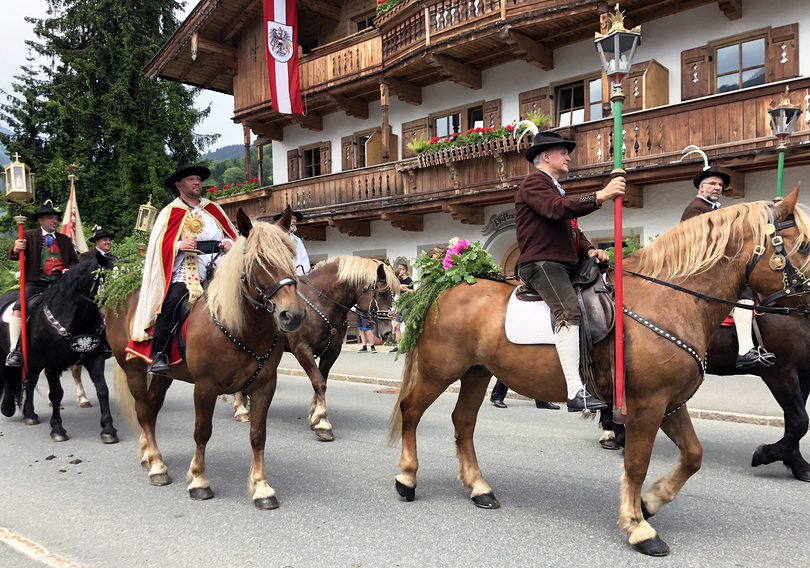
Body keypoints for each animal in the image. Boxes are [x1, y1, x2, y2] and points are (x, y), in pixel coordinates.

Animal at [0, 253, 118, 444]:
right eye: (109, 277)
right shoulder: (52, 364)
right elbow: (56, 394)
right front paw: (57, 429)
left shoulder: (94, 358)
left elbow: (102, 390)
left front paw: (108, 429)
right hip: (5, 354)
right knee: (8, 376)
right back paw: (8, 407)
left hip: (34, 361)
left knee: (31, 382)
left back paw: (30, 414)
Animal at [109, 210, 304, 510]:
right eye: (258, 260)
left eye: (290, 256)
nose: (291, 315)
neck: (238, 325)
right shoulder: (205, 387)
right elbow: (202, 432)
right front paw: (199, 480)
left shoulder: (264, 386)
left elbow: (258, 435)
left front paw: (261, 488)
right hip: (133, 369)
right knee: (143, 410)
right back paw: (157, 466)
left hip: (164, 377)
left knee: (151, 410)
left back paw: (148, 455)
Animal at [230, 255, 398, 442]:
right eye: (382, 293)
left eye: (393, 295)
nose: (388, 332)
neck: (322, 303)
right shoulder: (302, 349)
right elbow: (318, 382)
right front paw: (323, 423)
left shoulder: (332, 352)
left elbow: (321, 381)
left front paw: (314, 415)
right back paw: (240, 408)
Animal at [388, 190, 808, 556]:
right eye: (803, 245)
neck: (669, 300)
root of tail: (448, 286)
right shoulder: (648, 405)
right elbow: (637, 463)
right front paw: (638, 527)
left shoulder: (670, 403)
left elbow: (693, 455)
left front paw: (650, 502)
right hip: (439, 371)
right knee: (411, 411)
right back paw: (407, 478)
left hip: (476, 372)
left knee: (463, 422)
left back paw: (479, 488)